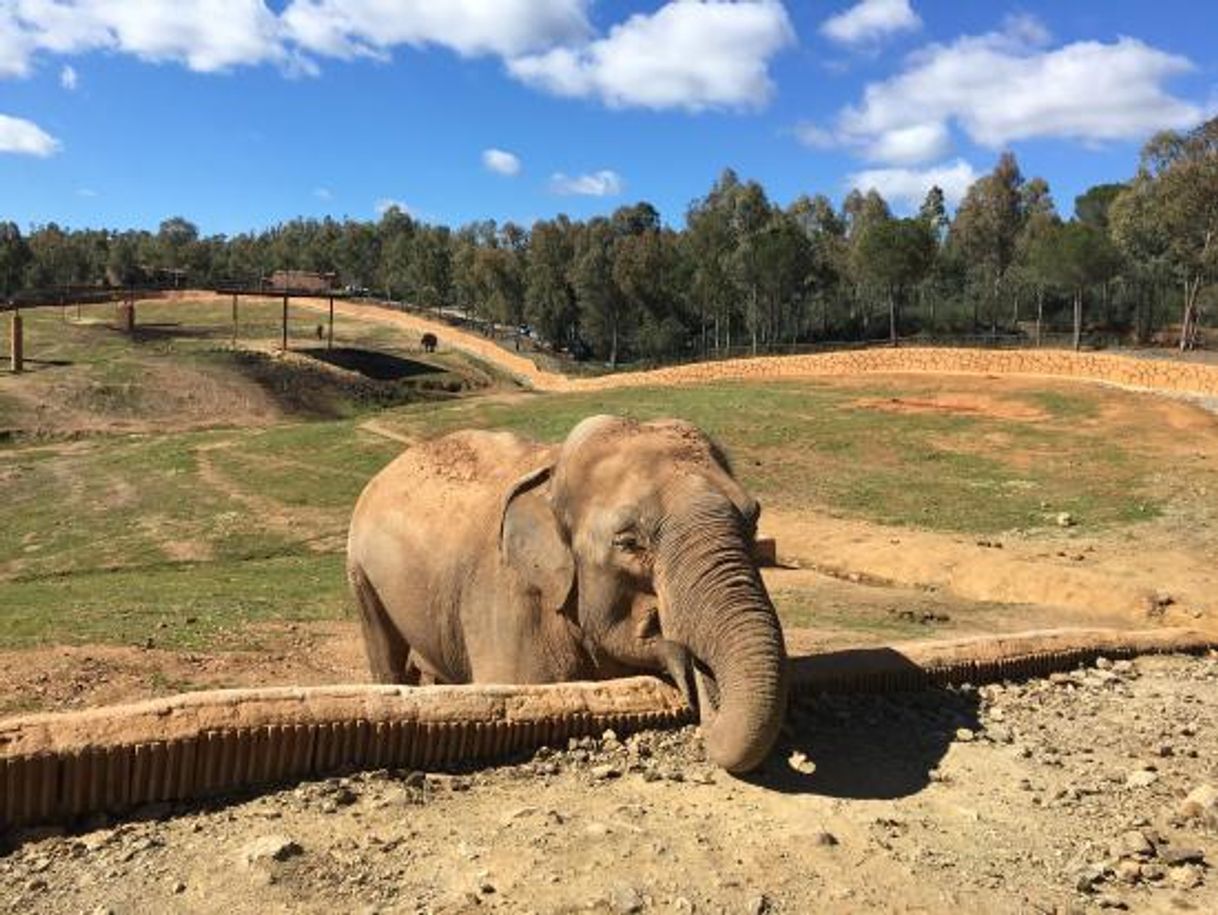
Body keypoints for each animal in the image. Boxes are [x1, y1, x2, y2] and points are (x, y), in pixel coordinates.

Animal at [345, 414, 789, 774]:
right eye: (628, 542)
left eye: (753, 520)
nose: (700, 675)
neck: (553, 472)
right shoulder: (509, 600)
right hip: (360, 571)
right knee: (384, 650)